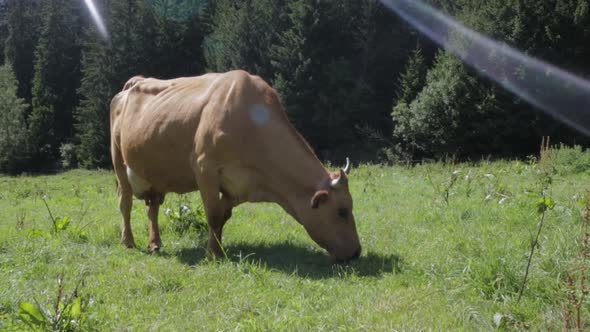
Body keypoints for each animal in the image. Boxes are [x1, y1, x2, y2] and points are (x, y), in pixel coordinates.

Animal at [109, 70, 364, 260]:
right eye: (342, 211)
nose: (356, 252)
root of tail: (134, 83)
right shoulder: (205, 168)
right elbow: (213, 215)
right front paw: (213, 254)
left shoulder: (239, 185)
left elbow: (223, 216)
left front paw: (219, 248)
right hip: (118, 160)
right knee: (125, 202)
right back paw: (128, 241)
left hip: (154, 174)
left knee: (152, 207)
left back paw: (155, 243)